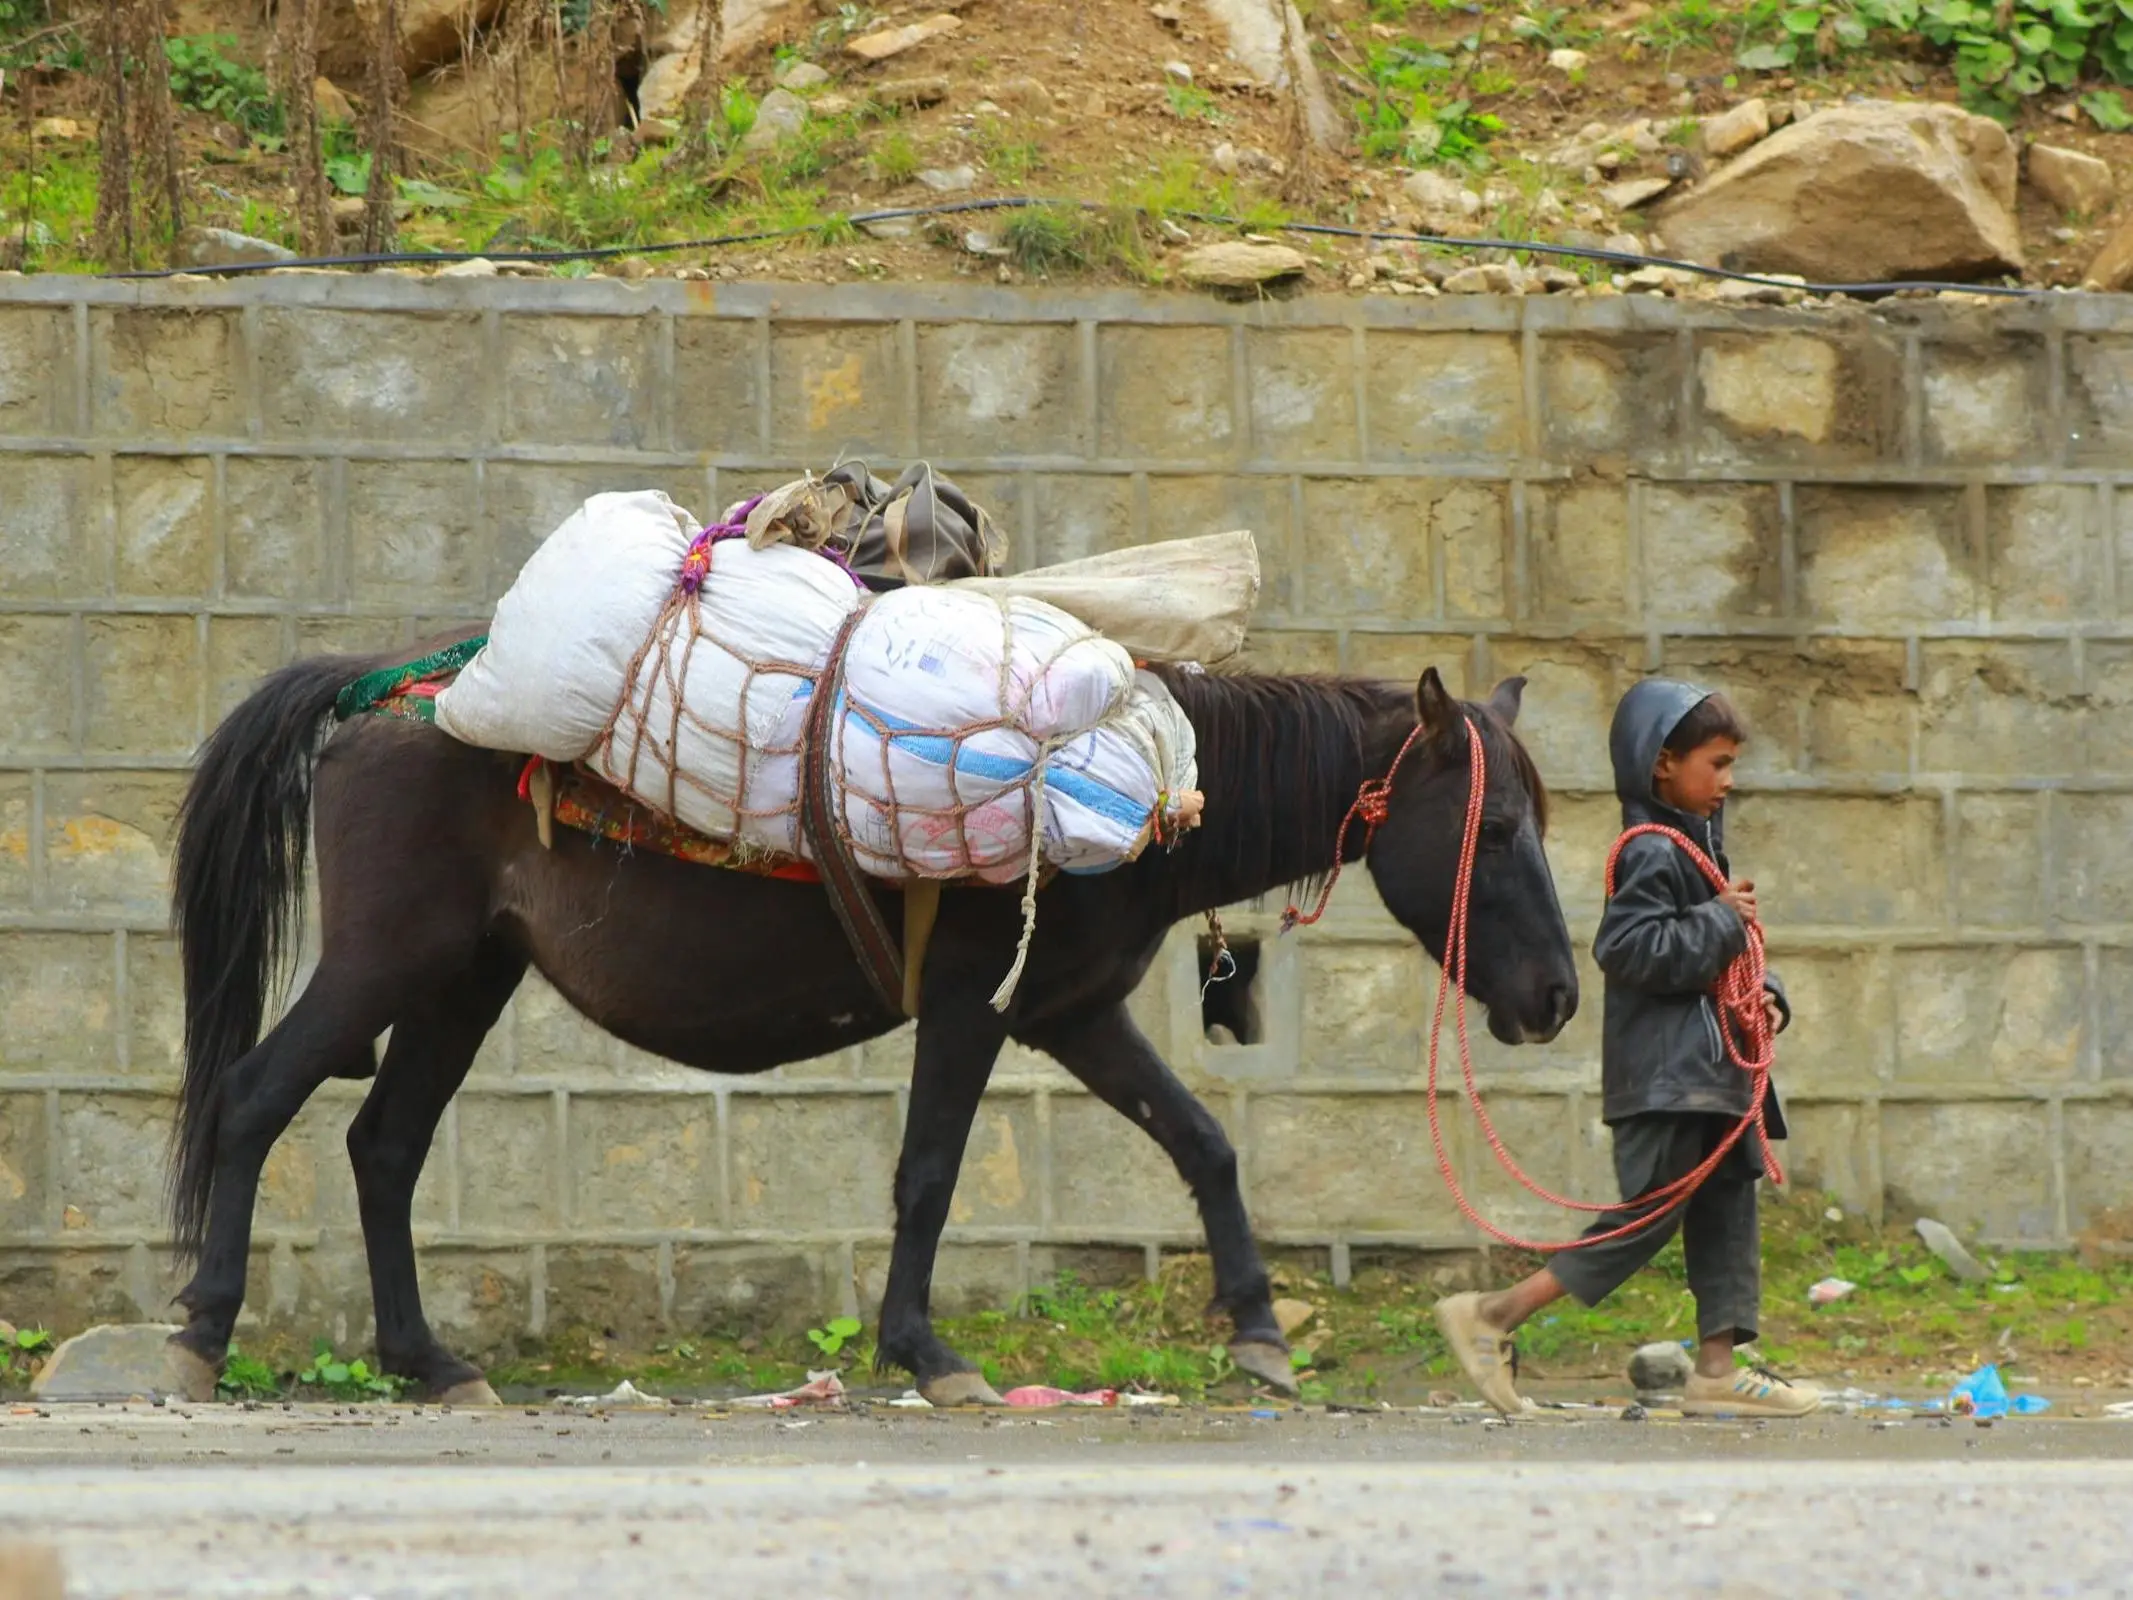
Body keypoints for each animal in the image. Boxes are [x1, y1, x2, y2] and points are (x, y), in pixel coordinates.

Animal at [157, 657, 1578, 1408]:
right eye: (1499, 828)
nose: (1559, 999)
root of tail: (371, 701)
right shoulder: (972, 1008)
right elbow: (930, 1173)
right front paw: (928, 1351)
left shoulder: (1072, 1012)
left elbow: (1204, 1143)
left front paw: (1260, 1331)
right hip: (385, 961)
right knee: (255, 1097)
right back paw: (202, 1334)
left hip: (463, 977)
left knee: (384, 1146)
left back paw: (427, 1361)